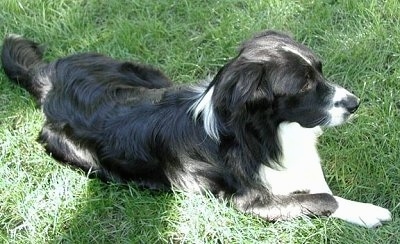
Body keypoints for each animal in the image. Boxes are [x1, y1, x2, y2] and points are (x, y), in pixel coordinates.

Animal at [1, 30, 392, 227]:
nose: (355, 103)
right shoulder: (248, 202)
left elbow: (319, 186)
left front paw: (359, 207)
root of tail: (47, 79)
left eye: (320, 72)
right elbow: (323, 198)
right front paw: (369, 212)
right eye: (305, 86)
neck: (264, 134)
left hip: (145, 73)